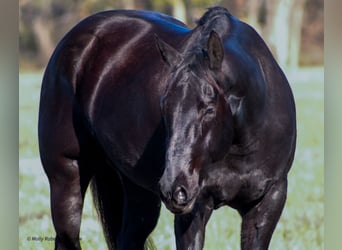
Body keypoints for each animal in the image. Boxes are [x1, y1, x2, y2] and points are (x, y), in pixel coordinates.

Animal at [38, 5, 296, 250]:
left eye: (209, 109)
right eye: (164, 106)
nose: (174, 188)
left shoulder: (269, 201)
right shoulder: (195, 208)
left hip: (138, 193)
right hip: (67, 177)